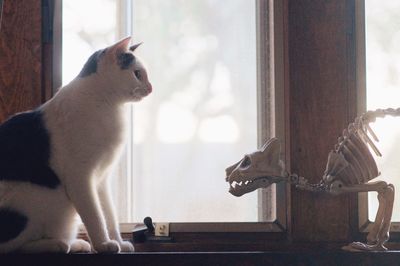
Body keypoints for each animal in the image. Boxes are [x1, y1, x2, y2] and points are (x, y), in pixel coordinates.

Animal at [0, 36, 152, 252]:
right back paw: (58, 244)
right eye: (138, 74)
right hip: (33, 197)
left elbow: (109, 216)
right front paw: (104, 244)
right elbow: (95, 216)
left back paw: (76, 244)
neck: (109, 107)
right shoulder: (80, 177)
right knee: (14, 246)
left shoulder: (101, 180)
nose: (151, 88)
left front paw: (120, 243)